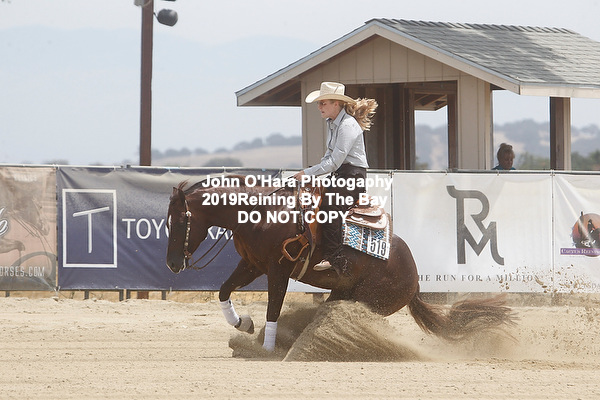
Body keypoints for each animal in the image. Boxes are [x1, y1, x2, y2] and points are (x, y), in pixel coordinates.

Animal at [166, 174, 515, 352]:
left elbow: (274, 309)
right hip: (342, 295)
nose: (171, 264)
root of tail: (415, 282)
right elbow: (224, 291)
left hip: (367, 301)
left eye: (182, 220)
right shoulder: (252, 264)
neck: (262, 212)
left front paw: (267, 348)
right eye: (167, 220)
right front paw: (245, 324)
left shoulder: (278, 270)